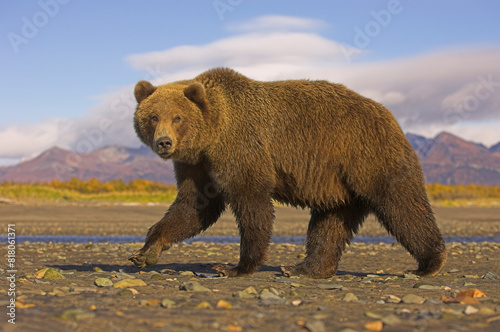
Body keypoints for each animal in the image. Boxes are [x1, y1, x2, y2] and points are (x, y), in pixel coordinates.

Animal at [128, 67, 446, 278]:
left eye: (177, 117)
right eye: (153, 116)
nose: (164, 142)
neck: (213, 134)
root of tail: (389, 116)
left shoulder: (242, 148)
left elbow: (251, 202)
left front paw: (236, 266)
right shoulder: (197, 164)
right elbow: (194, 206)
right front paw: (146, 251)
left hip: (368, 155)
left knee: (402, 204)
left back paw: (429, 263)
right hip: (338, 181)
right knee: (330, 223)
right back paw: (305, 267)